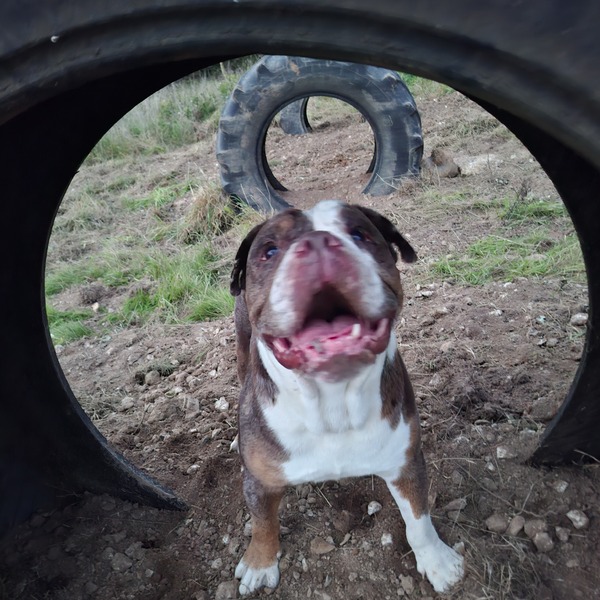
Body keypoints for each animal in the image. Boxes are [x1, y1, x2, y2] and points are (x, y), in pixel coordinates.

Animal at [229, 200, 464, 595]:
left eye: (359, 234)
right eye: (270, 251)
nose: (318, 243)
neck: (332, 403)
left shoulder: (406, 463)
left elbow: (419, 520)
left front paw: (437, 561)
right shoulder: (259, 482)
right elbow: (263, 524)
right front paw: (260, 564)